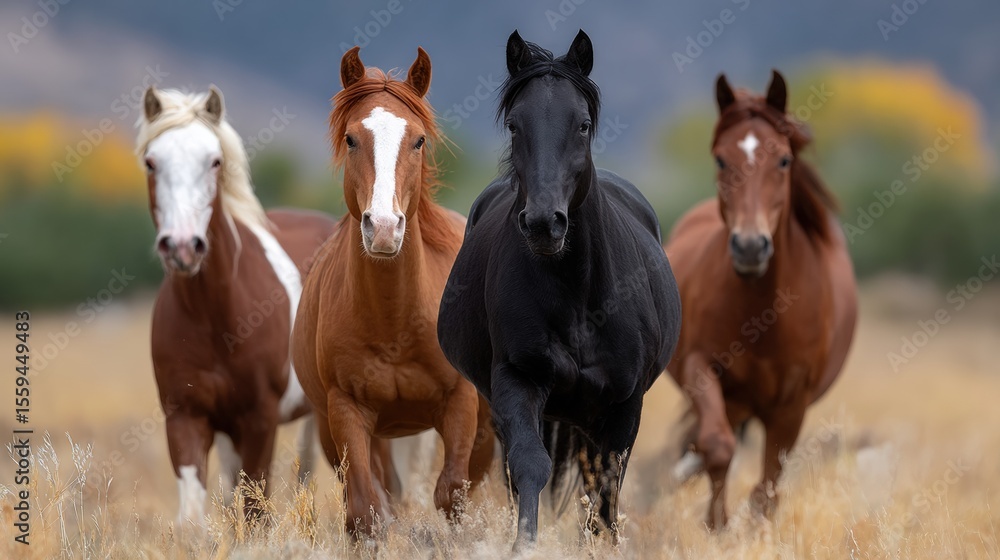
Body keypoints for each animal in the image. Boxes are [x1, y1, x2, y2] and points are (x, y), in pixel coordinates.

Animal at [136, 86, 336, 527]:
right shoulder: (185, 418)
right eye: (151, 162)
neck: (216, 317)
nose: (182, 246)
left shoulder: (259, 421)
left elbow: (257, 512)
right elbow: (195, 518)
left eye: (214, 161)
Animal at [291, 46, 495, 536]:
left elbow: (452, 495)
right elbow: (366, 511)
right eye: (351, 139)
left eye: (418, 141)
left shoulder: (461, 404)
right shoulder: (346, 413)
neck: (396, 321)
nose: (383, 228)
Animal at [437, 30, 682, 549]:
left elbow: (607, 490)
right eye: (514, 125)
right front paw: (523, 545)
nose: (543, 224)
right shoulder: (517, 380)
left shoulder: (624, 403)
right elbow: (530, 467)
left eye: (583, 125)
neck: (577, 296)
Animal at [664, 70, 858, 529]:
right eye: (721, 160)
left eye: (783, 160)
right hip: (732, 399)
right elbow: (717, 447)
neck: (764, 313)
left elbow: (767, 488)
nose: (750, 247)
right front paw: (717, 526)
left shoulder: (792, 404)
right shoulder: (701, 367)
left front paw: (752, 530)